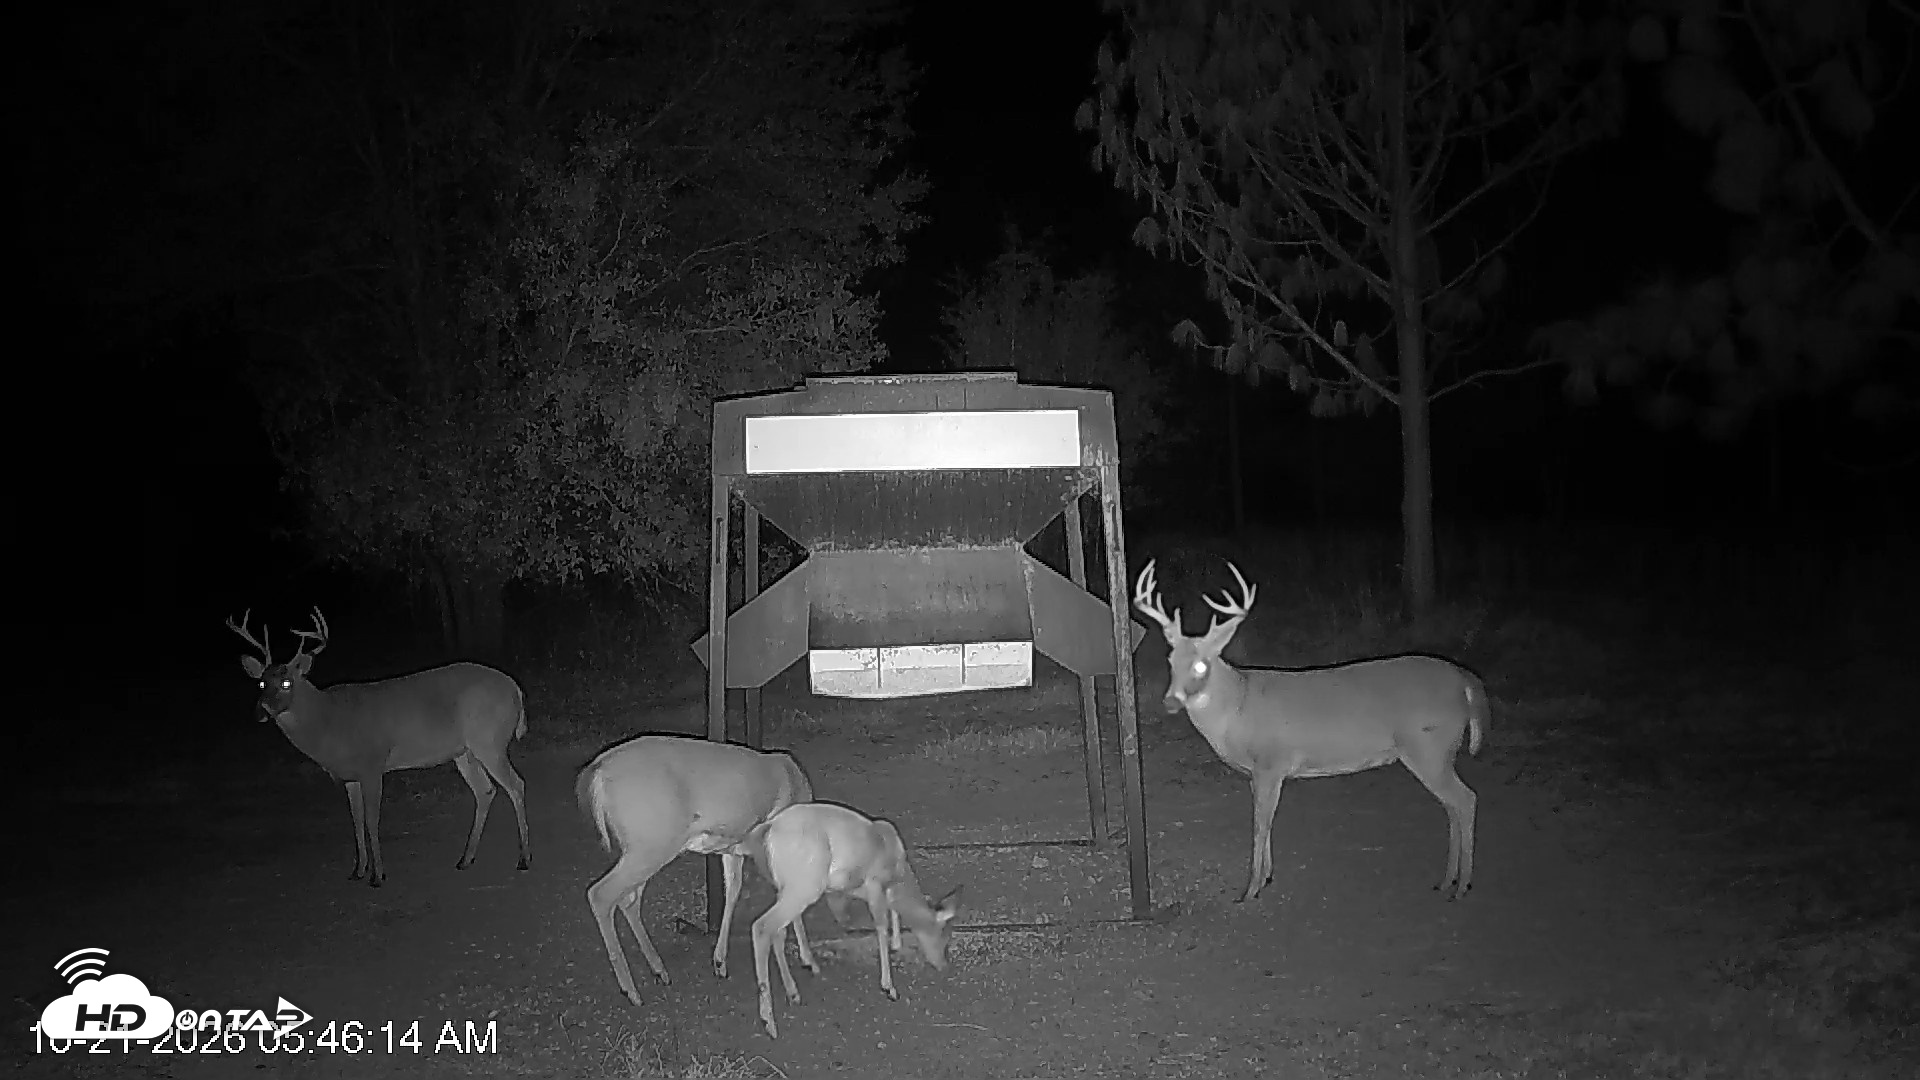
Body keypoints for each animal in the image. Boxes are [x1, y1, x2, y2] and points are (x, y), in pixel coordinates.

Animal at [227, 608, 530, 888]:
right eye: (262, 682)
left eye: (287, 682)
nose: (262, 711)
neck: (329, 723)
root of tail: (516, 689)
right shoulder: (350, 776)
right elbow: (356, 821)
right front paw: (357, 870)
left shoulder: (372, 763)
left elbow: (372, 820)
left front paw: (377, 875)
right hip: (464, 752)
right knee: (485, 790)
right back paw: (465, 859)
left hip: (488, 740)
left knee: (516, 784)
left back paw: (523, 859)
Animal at [576, 734, 815, 1003]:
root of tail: (597, 770)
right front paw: (803, 967)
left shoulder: (733, 850)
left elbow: (733, 890)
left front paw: (720, 962)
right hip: (651, 843)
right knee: (601, 894)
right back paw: (632, 991)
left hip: (647, 846)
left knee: (628, 900)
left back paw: (659, 969)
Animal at [739, 801, 964, 1039]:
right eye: (944, 936)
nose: (943, 966)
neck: (898, 870)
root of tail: (767, 829)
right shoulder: (874, 882)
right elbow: (880, 925)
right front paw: (889, 987)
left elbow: (891, 912)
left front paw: (896, 944)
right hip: (806, 884)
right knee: (762, 926)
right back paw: (769, 1023)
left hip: (786, 886)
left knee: (779, 931)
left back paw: (794, 992)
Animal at [1132, 560, 1488, 903]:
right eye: (1170, 660)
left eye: (1201, 665)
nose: (1170, 701)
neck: (1237, 707)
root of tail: (1466, 679)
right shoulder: (1256, 773)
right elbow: (1266, 822)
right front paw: (1267, 877)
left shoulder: (1270, 763)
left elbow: (1260, 824)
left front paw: (1250, 889)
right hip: (1437, 751)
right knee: (1452, 805)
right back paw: (1446, 881)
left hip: (1428, 746)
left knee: (1466, 799)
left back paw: (1462, 886)